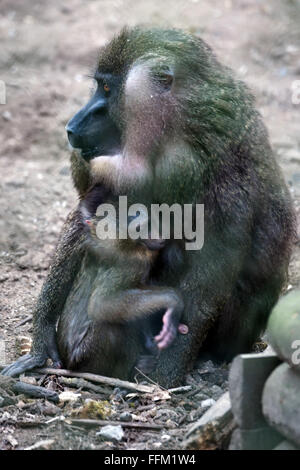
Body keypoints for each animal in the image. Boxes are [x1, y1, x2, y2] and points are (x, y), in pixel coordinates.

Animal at [1, 28, 294, 386]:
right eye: (99, 85)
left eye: (108, 90)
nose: (74, 124)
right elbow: (85, 223)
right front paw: (41, 342)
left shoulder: (191, 171)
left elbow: (209, 276)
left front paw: (165, 378)